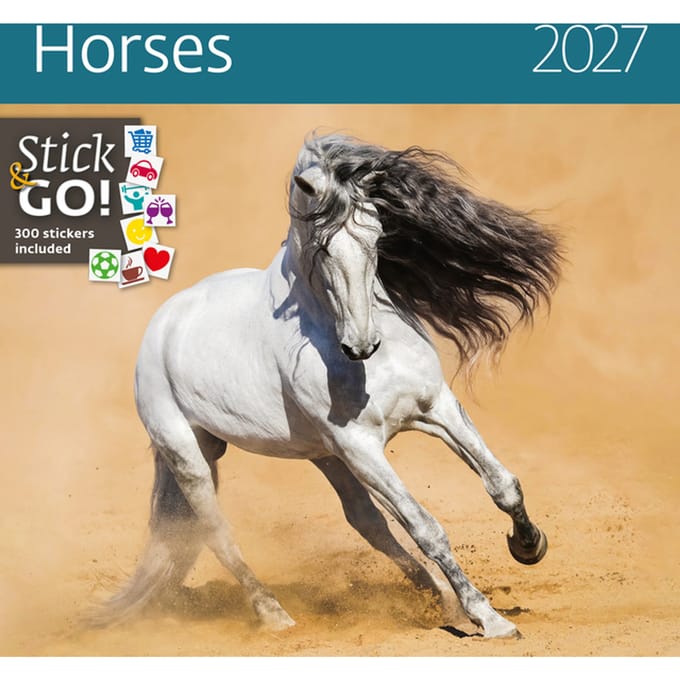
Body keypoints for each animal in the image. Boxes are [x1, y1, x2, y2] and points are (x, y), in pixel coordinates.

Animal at [97, 134, 562, 639]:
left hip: (324, 457)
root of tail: (163, 323)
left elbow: (502, 484)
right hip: (190, 456)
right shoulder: (359, 446)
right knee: (217, 533)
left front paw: (528, 545)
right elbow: (426, 528)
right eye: (321, 248)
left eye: (378, 236)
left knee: (368, 523)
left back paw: (440, 600)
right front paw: (490, 618)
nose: (361, 345)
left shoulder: (435, 408)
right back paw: (275, 614)